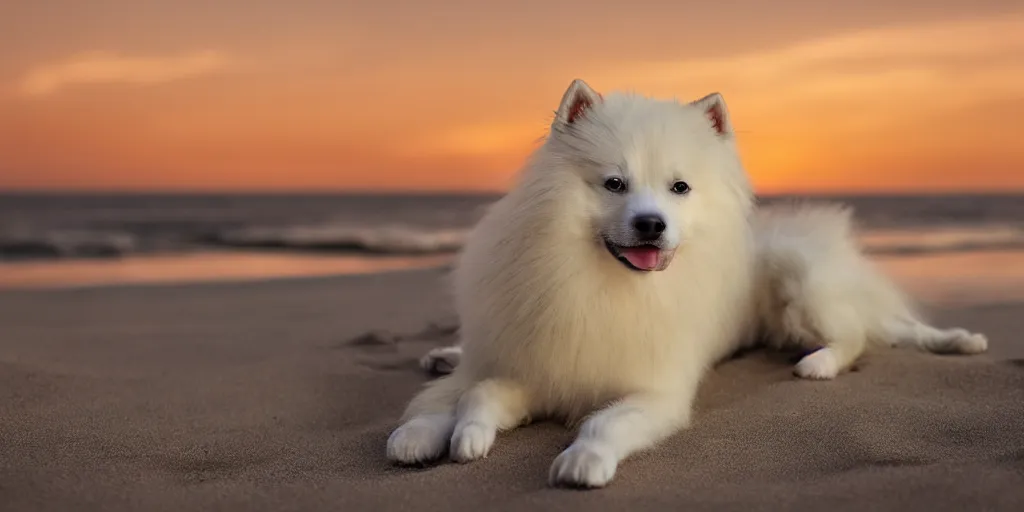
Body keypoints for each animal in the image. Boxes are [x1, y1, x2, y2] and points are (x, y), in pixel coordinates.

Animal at [387, 78, 757, 487]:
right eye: (615, 183)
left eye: (680, 187)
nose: (651, 223)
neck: (602, 287)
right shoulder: (530, 368)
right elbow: (464, 396)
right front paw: (424, 434)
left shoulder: (653, 394)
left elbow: (606, 424)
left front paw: (583, 461)